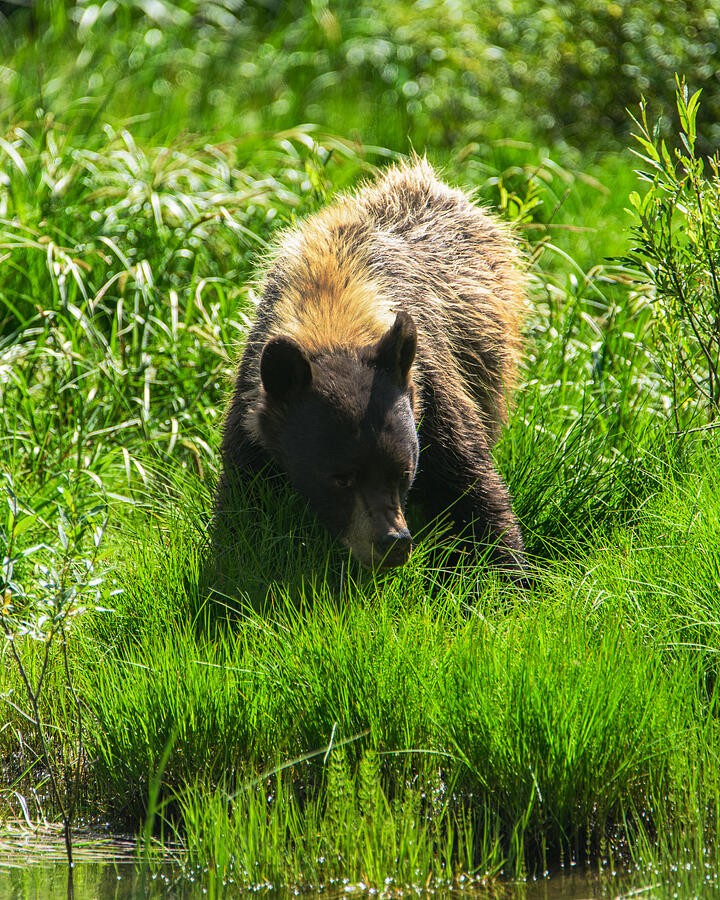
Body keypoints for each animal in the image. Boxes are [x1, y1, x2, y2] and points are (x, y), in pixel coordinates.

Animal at [214, 158, 527, 576]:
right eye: (341, 478)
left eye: (404, 472)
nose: (393, 543)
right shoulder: (252, 408)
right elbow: (243, 501)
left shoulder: (428, 388)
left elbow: (470, 482)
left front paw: (510, 571)